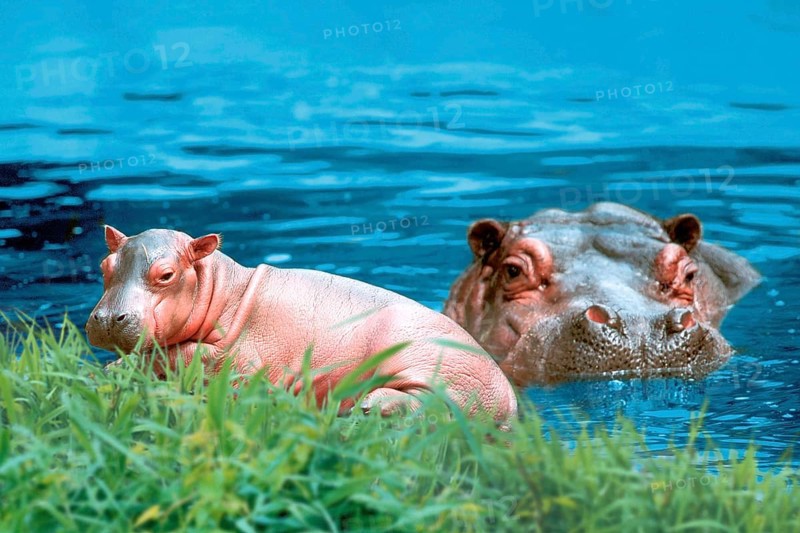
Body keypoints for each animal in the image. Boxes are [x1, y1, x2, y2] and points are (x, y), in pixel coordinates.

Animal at [86, 226, 517, 421]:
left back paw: (370, 404)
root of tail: (511, 401)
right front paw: (110, 370)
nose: (107, 318)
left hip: (438, 366)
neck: (223, 288)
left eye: (166, 275)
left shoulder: (240, 357)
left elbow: (179, 355)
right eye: (104, 265)